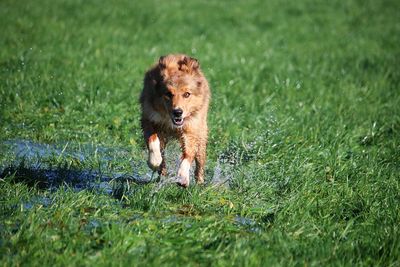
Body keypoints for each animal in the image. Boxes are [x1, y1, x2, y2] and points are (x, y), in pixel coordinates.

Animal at [140, 54, 211, 188]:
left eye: (187, 94)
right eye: (168, 94)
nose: (178, 112)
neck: (170, 122)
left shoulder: (190, 129)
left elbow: (188, 154)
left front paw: (183, 177)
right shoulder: (148, 120)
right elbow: (153, 141)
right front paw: (154, 161)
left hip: (201, 134)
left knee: (200, 161)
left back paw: (200, 183)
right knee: (162, 156)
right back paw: (161, 174)